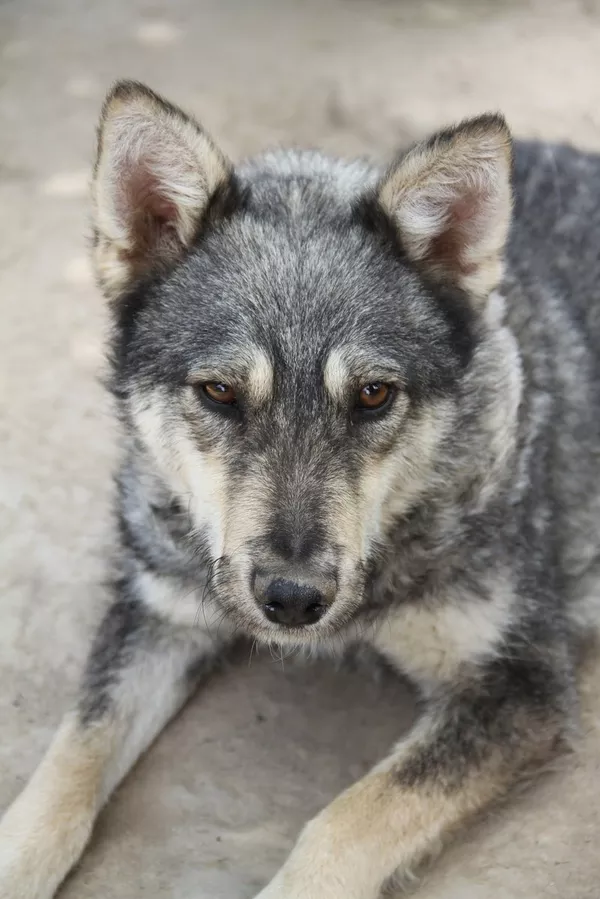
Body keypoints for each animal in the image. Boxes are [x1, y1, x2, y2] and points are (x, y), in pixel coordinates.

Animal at [1, 81, 600, 896]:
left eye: (374, 395)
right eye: (220, 391)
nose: (292, 600)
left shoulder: (518, 684)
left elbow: (344, 822)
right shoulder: (160, 611)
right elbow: (69, 758)